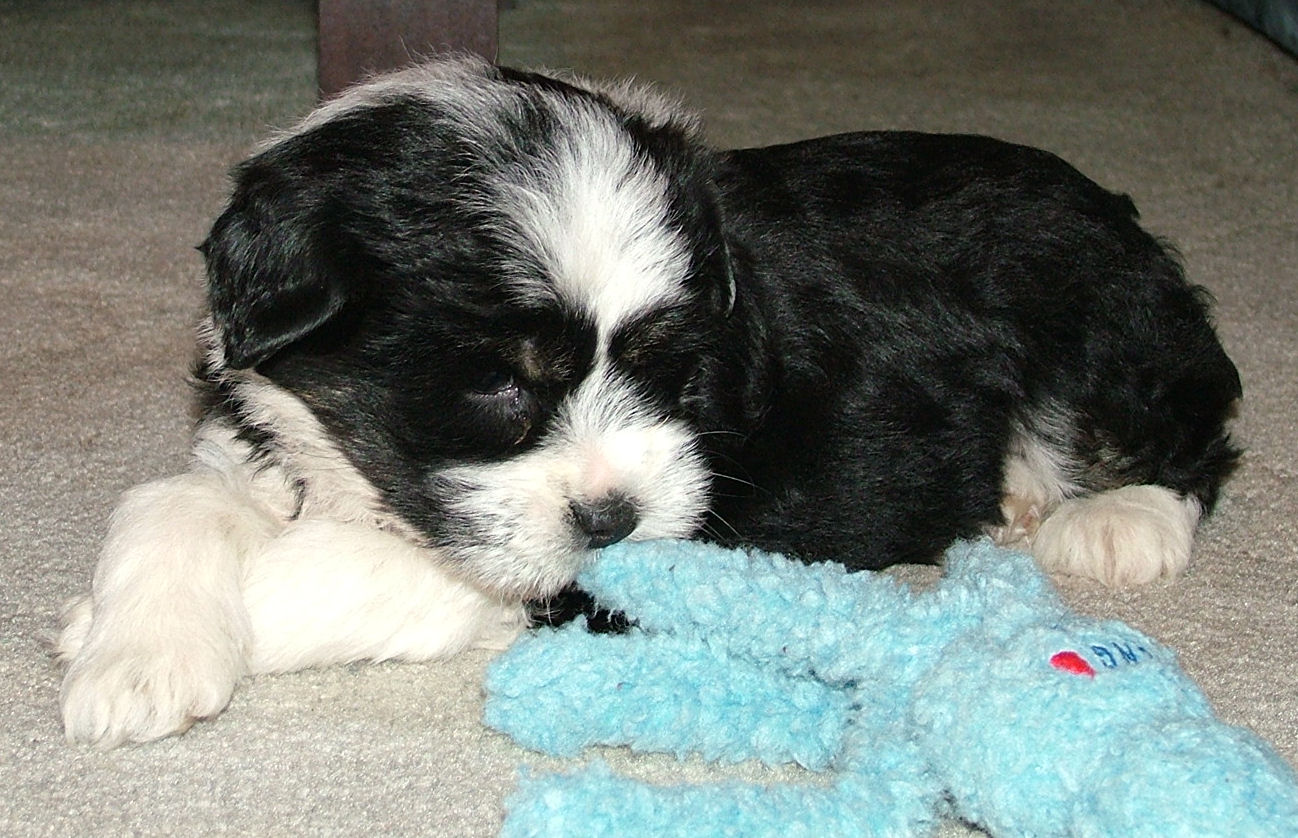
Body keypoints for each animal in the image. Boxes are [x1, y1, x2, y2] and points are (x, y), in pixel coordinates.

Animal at [56, 56, 1241, 747]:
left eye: (667, 365)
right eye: (499, 382)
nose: (614, 518)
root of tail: (1112, 207)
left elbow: (363, 568)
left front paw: (97, 640)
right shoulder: (265, 445)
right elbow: (166, 501)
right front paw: (135, 651)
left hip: (1094, 304)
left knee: (1195, 421)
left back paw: (1118, 520)